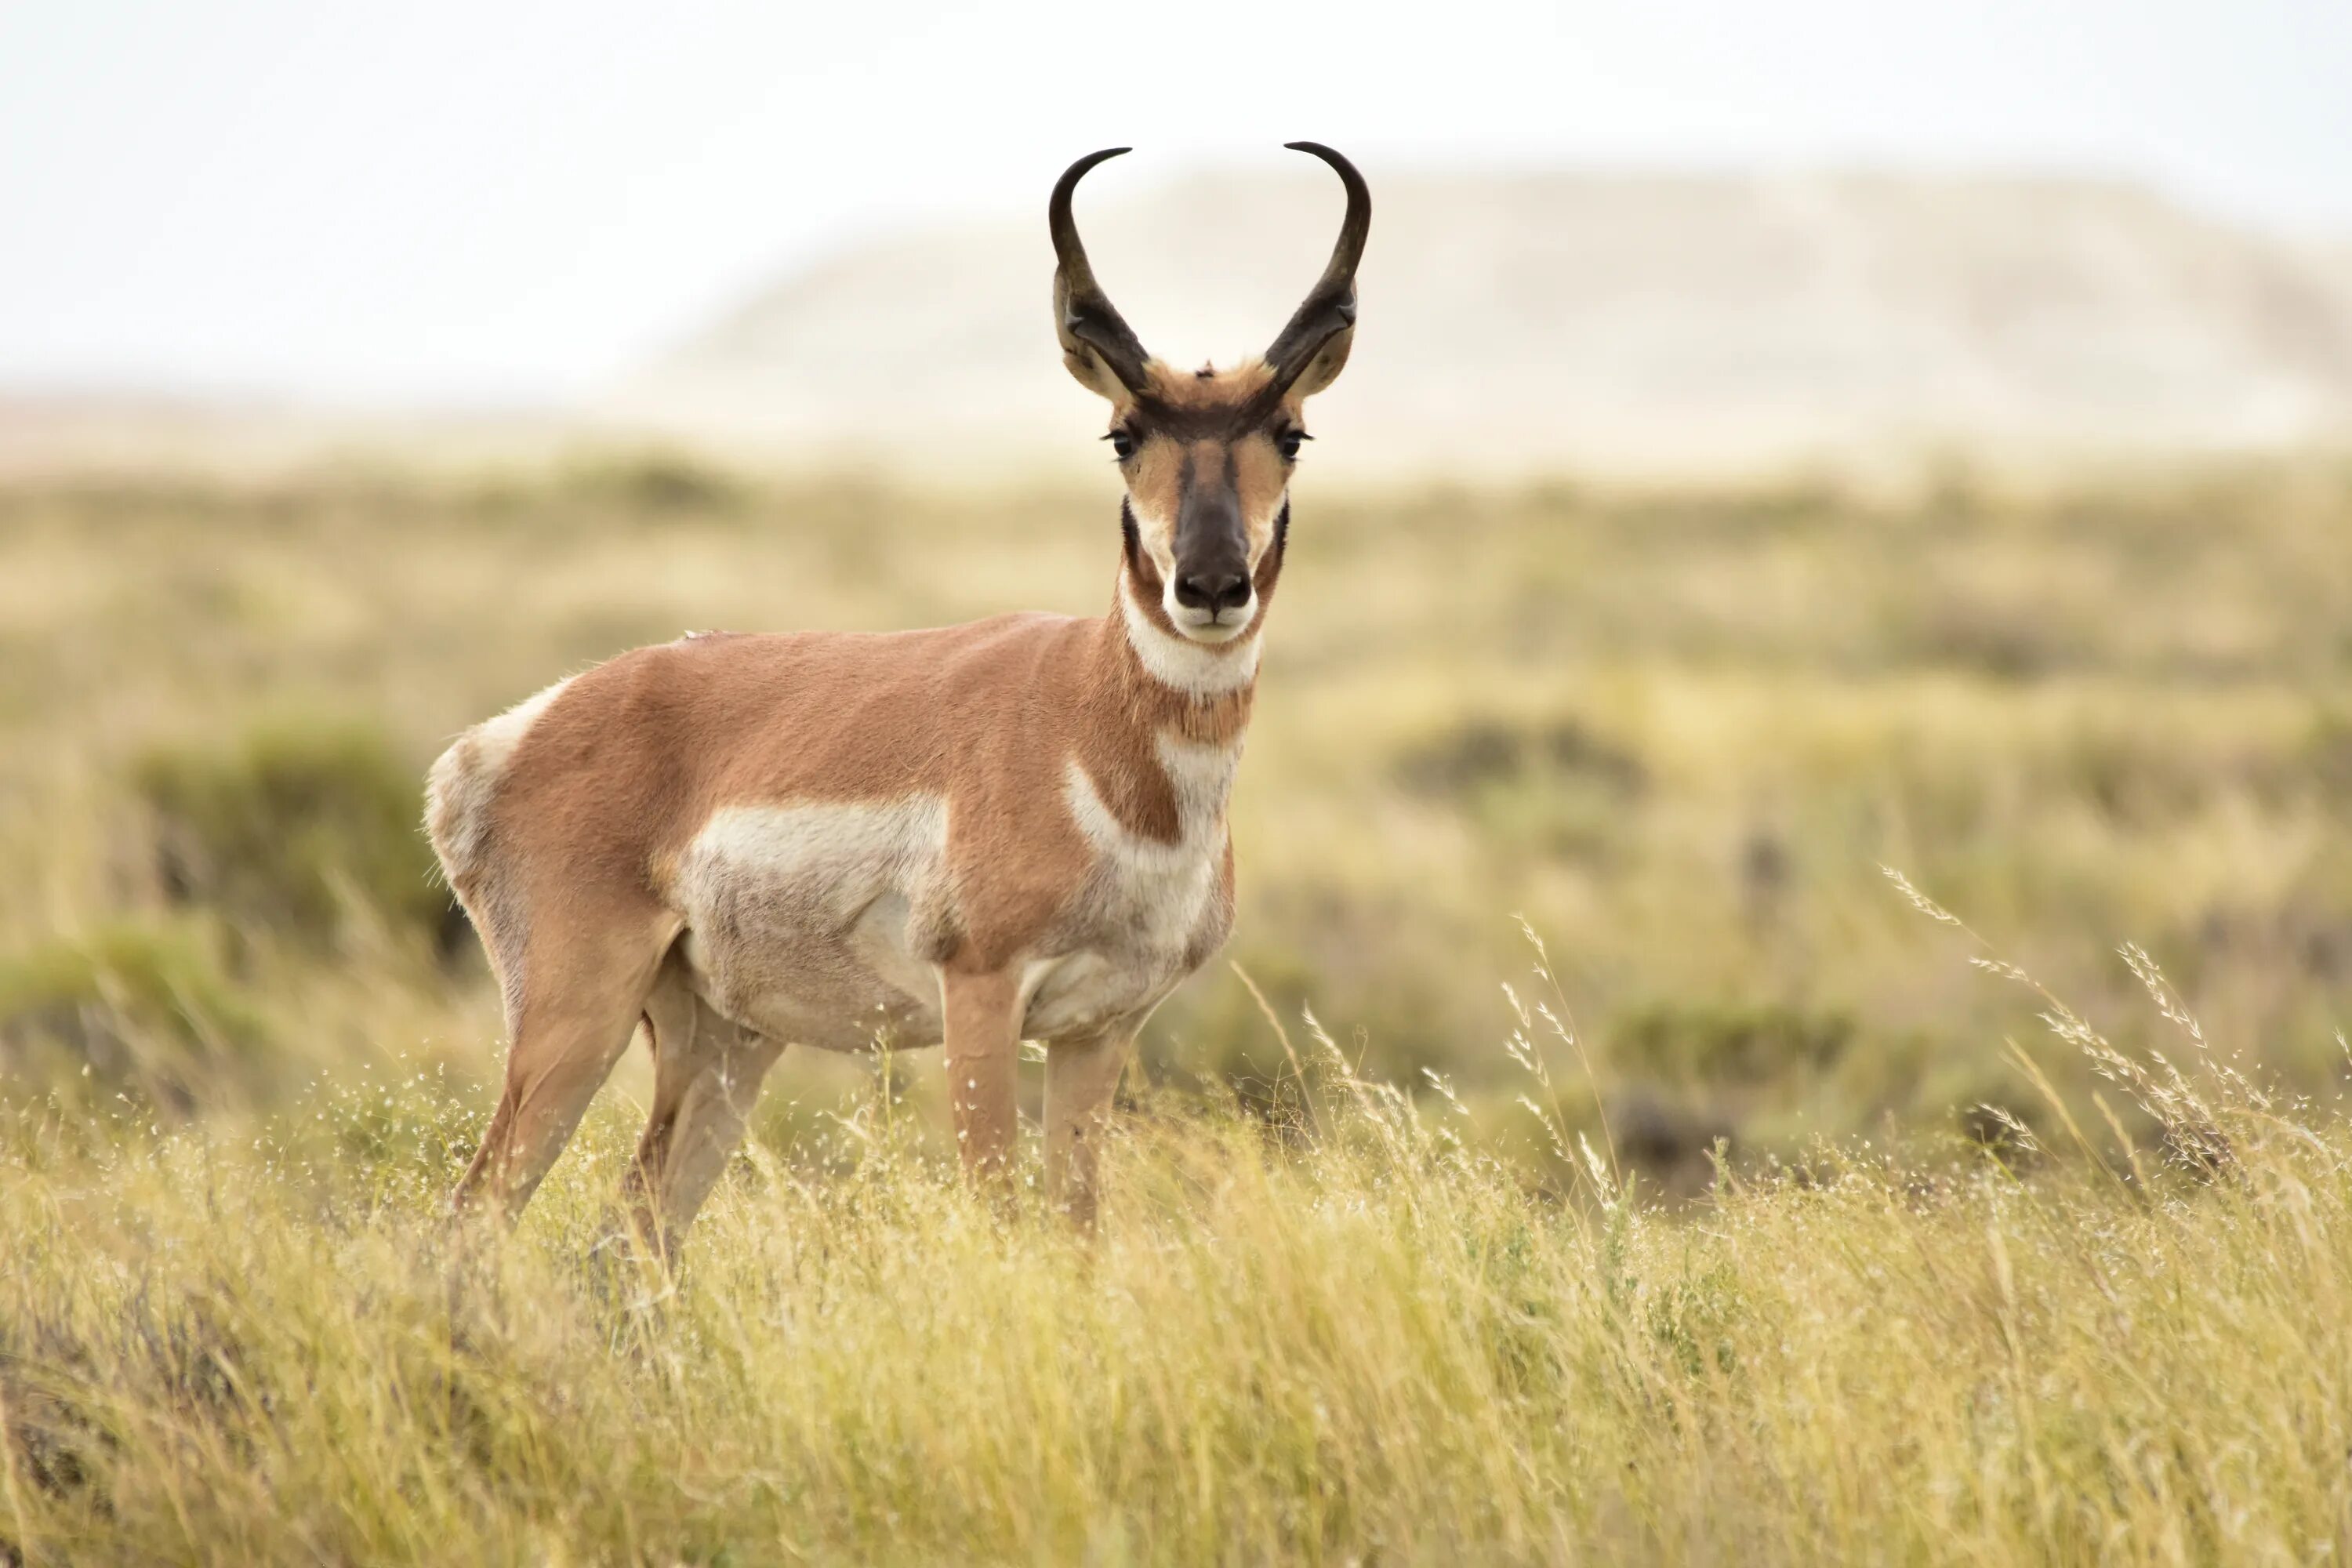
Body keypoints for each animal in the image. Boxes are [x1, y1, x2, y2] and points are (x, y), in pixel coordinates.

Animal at [433, 140, 1374, 1241]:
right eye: (1124, 434)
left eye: (1291, 432)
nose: (1212, 584)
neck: (1090, 731)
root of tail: (501, 740)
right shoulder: (981, 998)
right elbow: (1003, 1213)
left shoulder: (1098, 1029)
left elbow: (1078, 1229)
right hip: (577, 1018)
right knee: (470, 1220)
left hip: (723, 1042)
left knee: (632, 1230)